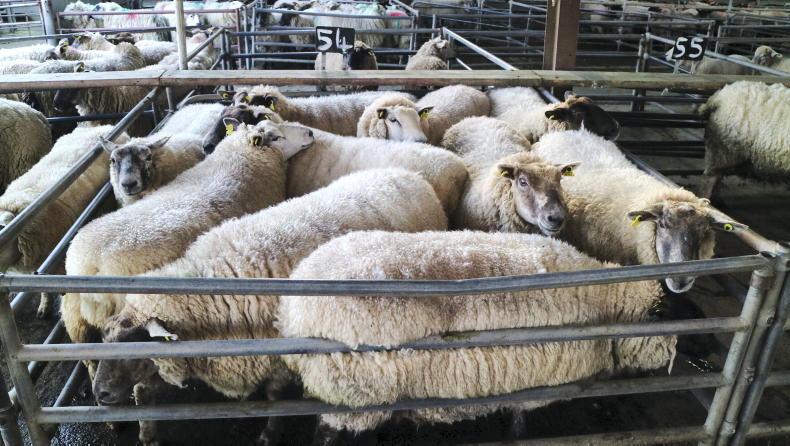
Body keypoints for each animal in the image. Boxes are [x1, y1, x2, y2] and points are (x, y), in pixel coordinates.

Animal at [60, 121, 305, 348]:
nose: (309, 133)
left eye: (147, 157)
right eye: (276, 136)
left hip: (77, 323)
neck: (240, 155)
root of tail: (88, 265)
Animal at [92, 168, 447, 446]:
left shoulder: (279, 355)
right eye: (104, 340)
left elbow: (275, 401)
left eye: (136, 343)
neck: (215, 288)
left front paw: (269, 434)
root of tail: (408, 175)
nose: (100, 395)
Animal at [278, 230, 676, 439]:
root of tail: (293, 313)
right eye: (665, 316)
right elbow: (519, 419)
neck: (603, 299)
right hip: (356, 395)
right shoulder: (538, 382)